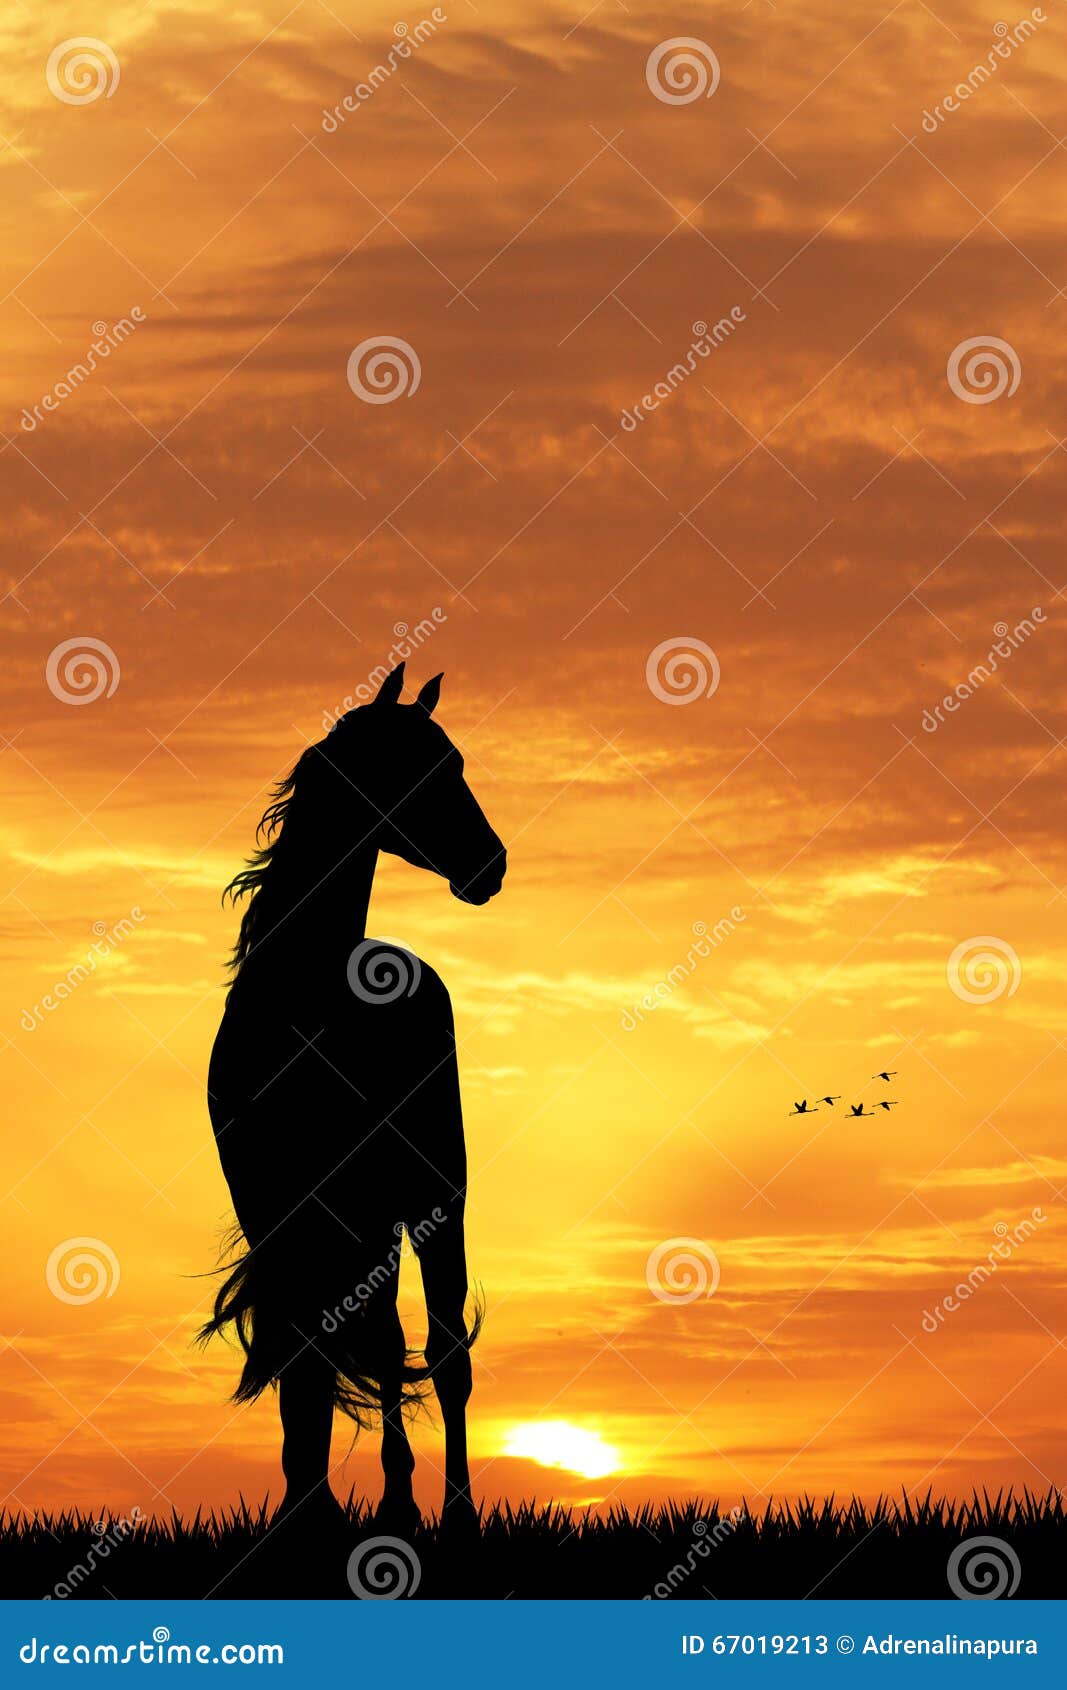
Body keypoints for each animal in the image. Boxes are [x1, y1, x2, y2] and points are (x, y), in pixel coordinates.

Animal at [201, 662, 506, 1536]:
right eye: (421, 766)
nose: (491, 865)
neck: (308, 1001)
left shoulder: (414, 1202)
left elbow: (417, 1352)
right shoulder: (278, 1209)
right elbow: (310, 1343)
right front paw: (305, 1507)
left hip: (426, 1202)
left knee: (436, 1349)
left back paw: (446, 1511)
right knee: (372, 1337)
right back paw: (391, 1503)